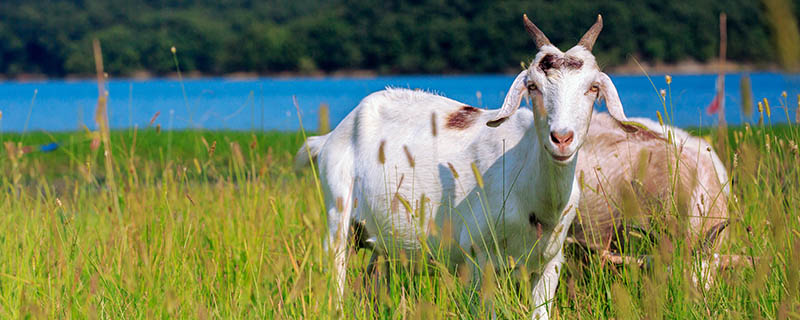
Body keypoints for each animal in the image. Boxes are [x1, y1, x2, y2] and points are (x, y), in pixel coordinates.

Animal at [296, 14, 632, 318]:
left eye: (593, 88)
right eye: (533, 86)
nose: (561, 138)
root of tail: (331, 136)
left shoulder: (549, 263)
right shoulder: (477, 257)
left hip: (384, 244)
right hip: (337, 214)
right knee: (337, 275)